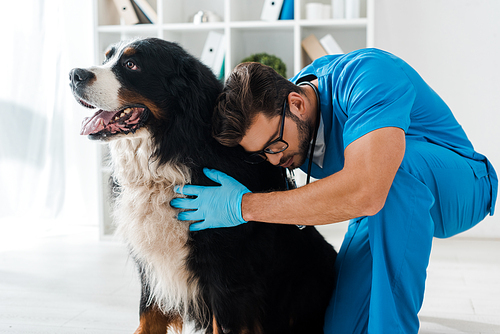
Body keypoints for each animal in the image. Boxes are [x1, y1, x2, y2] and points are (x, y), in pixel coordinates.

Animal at [68, 37, 338, 332]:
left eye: (131, 64)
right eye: (107, 57)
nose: (74, 75)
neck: (165, 163)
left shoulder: (228, 279)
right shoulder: (152, 271)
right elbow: (146, 319)